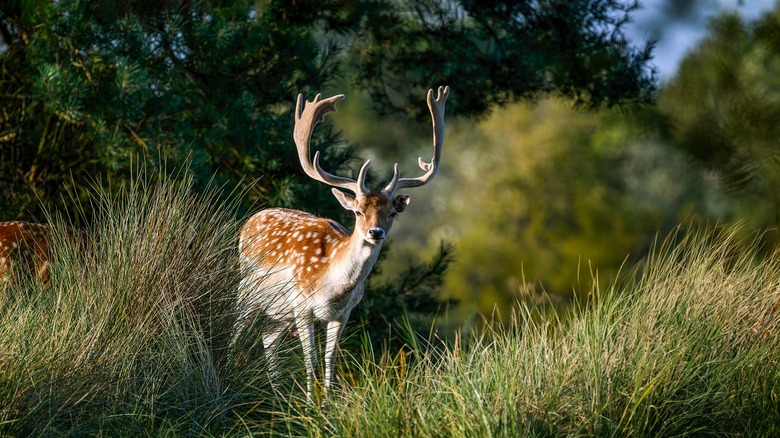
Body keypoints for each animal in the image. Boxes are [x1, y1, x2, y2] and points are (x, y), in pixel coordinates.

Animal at [235, 84, 448, 400]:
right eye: (358, 211)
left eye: (392, 212)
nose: (375, 232)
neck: (333, 287)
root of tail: (251, 219)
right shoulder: (302, 305)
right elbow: (310, 360)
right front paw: (310, 406)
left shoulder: (343, 313)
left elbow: (329, 360)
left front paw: (327, 402)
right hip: (247, 289)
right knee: (236, 331)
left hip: (278, 312)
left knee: (267, 337)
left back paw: (278, 395)